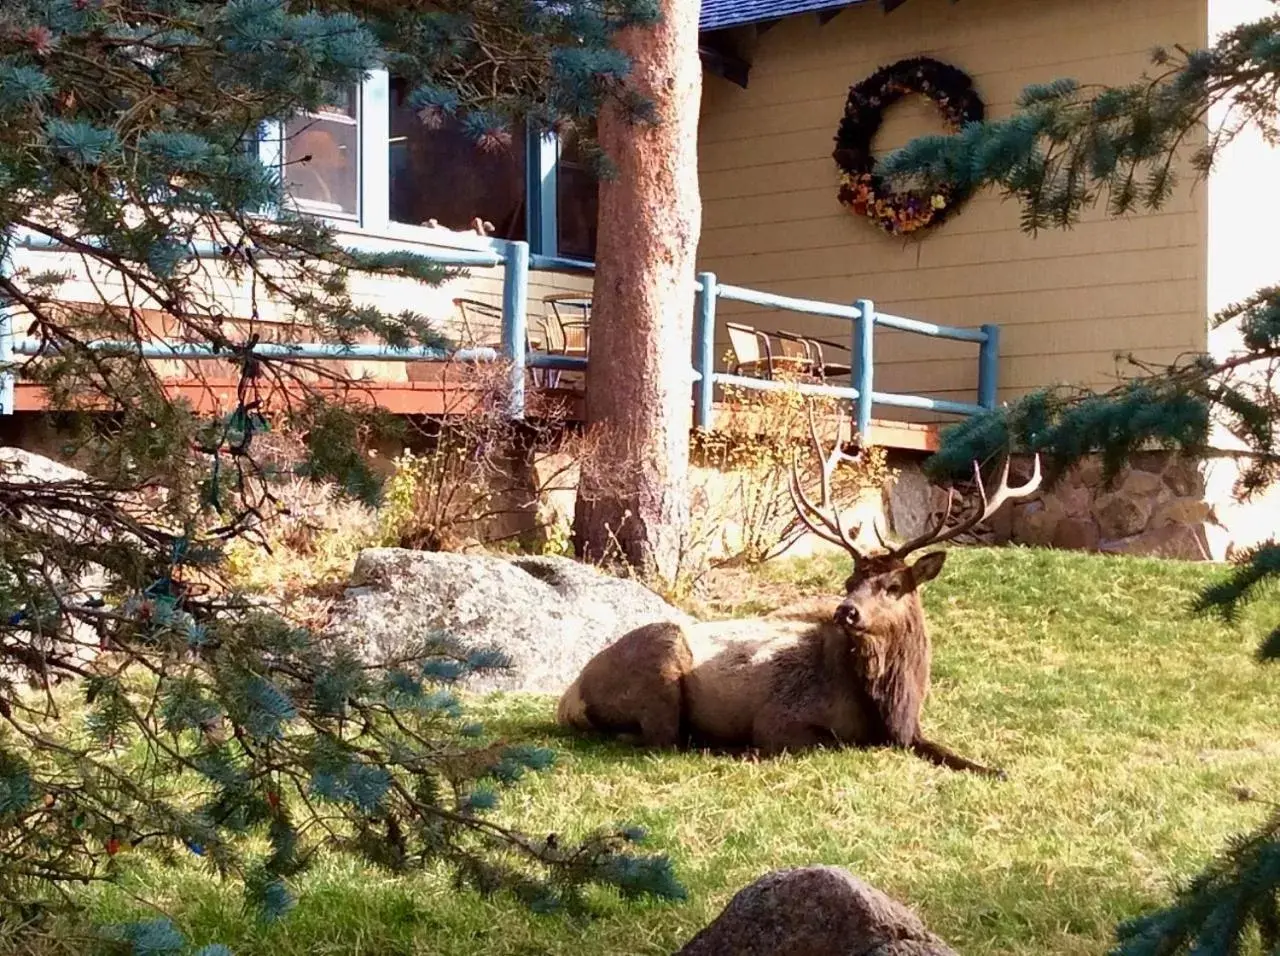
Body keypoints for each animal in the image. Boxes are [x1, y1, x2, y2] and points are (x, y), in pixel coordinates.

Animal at [560, 419, 1039, 778]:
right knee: (659, 736)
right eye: (849, 580)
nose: (847, 611)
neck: (890, 705)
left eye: (894, 586)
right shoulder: (779, 718)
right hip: (660, 659)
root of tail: (572, 694)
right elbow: (830, 745)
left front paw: (998, 769)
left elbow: (959, 756)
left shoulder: (913, 731)